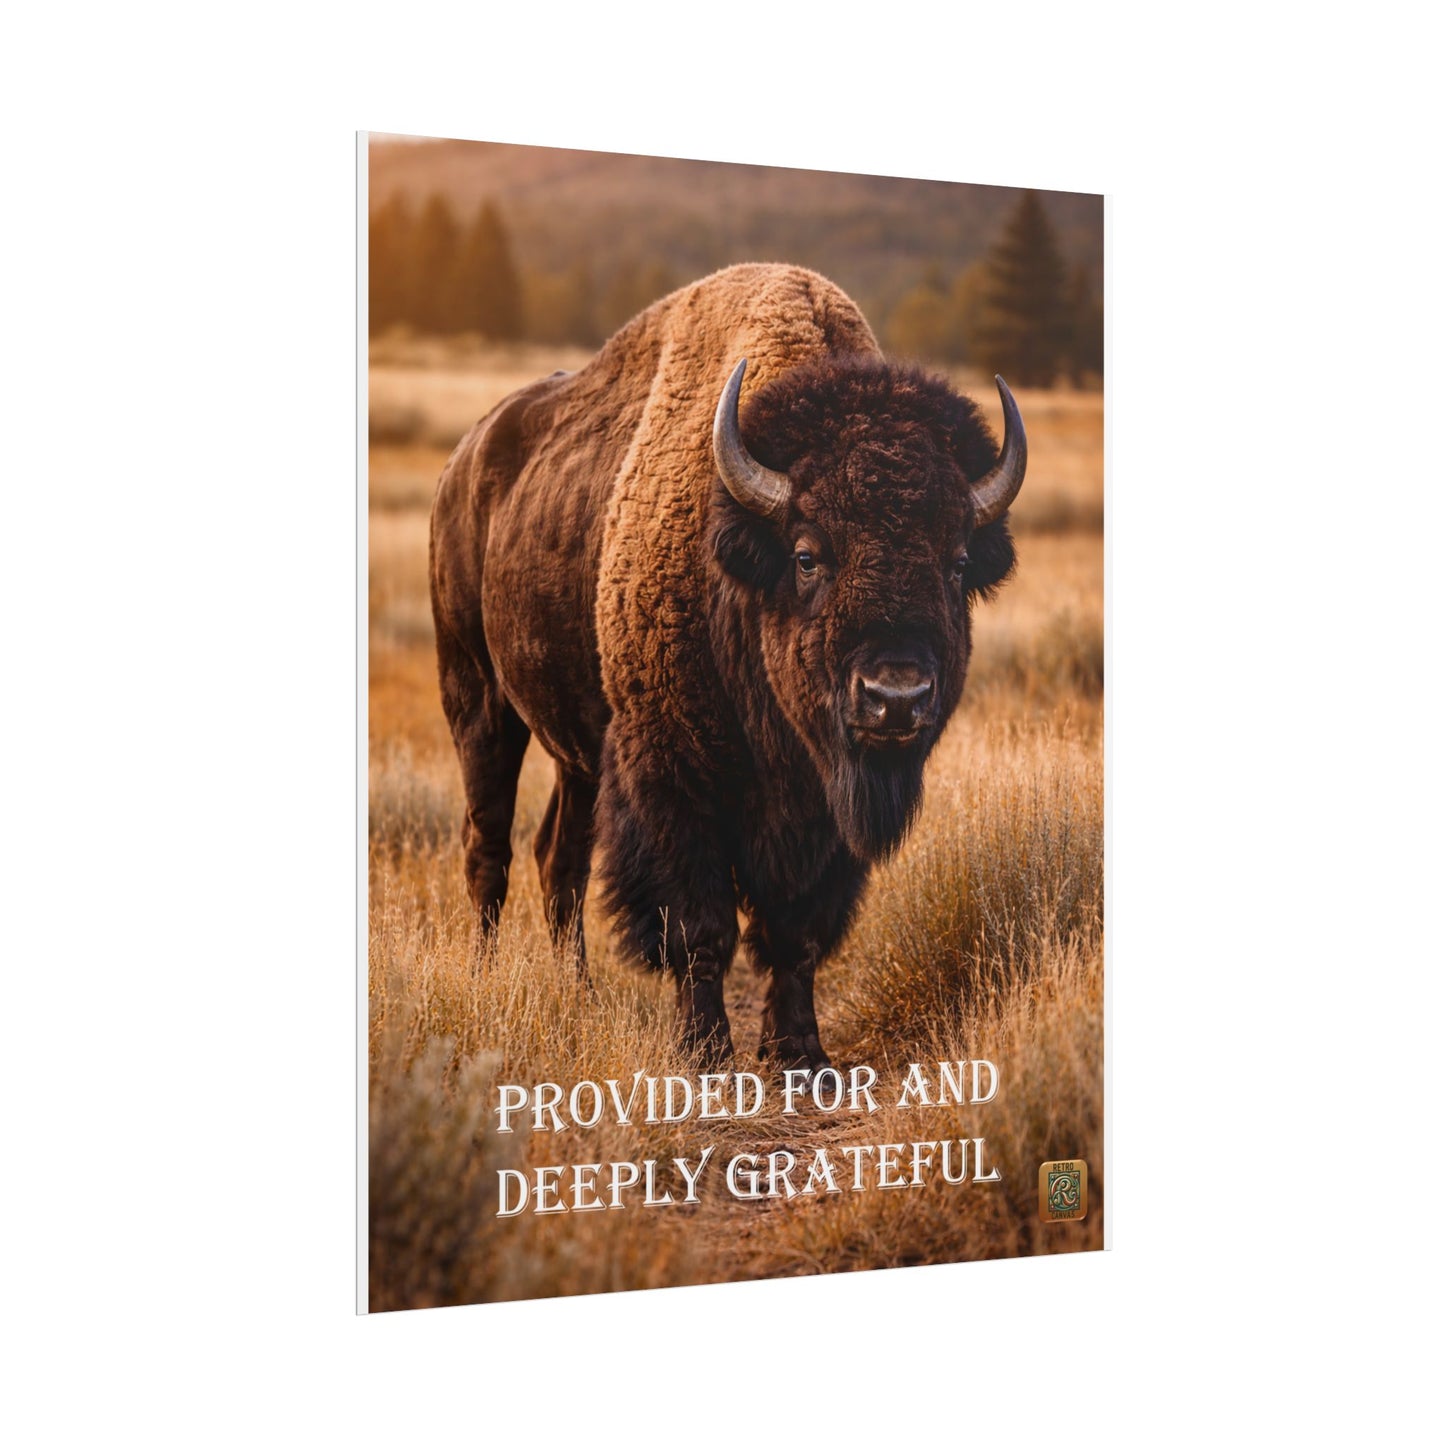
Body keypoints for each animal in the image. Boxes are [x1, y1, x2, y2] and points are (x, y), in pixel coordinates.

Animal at [429, 263, 1025, 1069]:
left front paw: (803, 1056)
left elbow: (794, 931)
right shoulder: (673, 776)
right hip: (477, 699)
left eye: (957, 561)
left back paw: (579, 994)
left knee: (560, 855)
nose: (895, 696)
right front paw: (705, 1053)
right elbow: (698, 924)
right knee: (487, 848)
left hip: (578, 753)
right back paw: (487, 978)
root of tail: (465, 461)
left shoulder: (819, 812)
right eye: (807, 555)